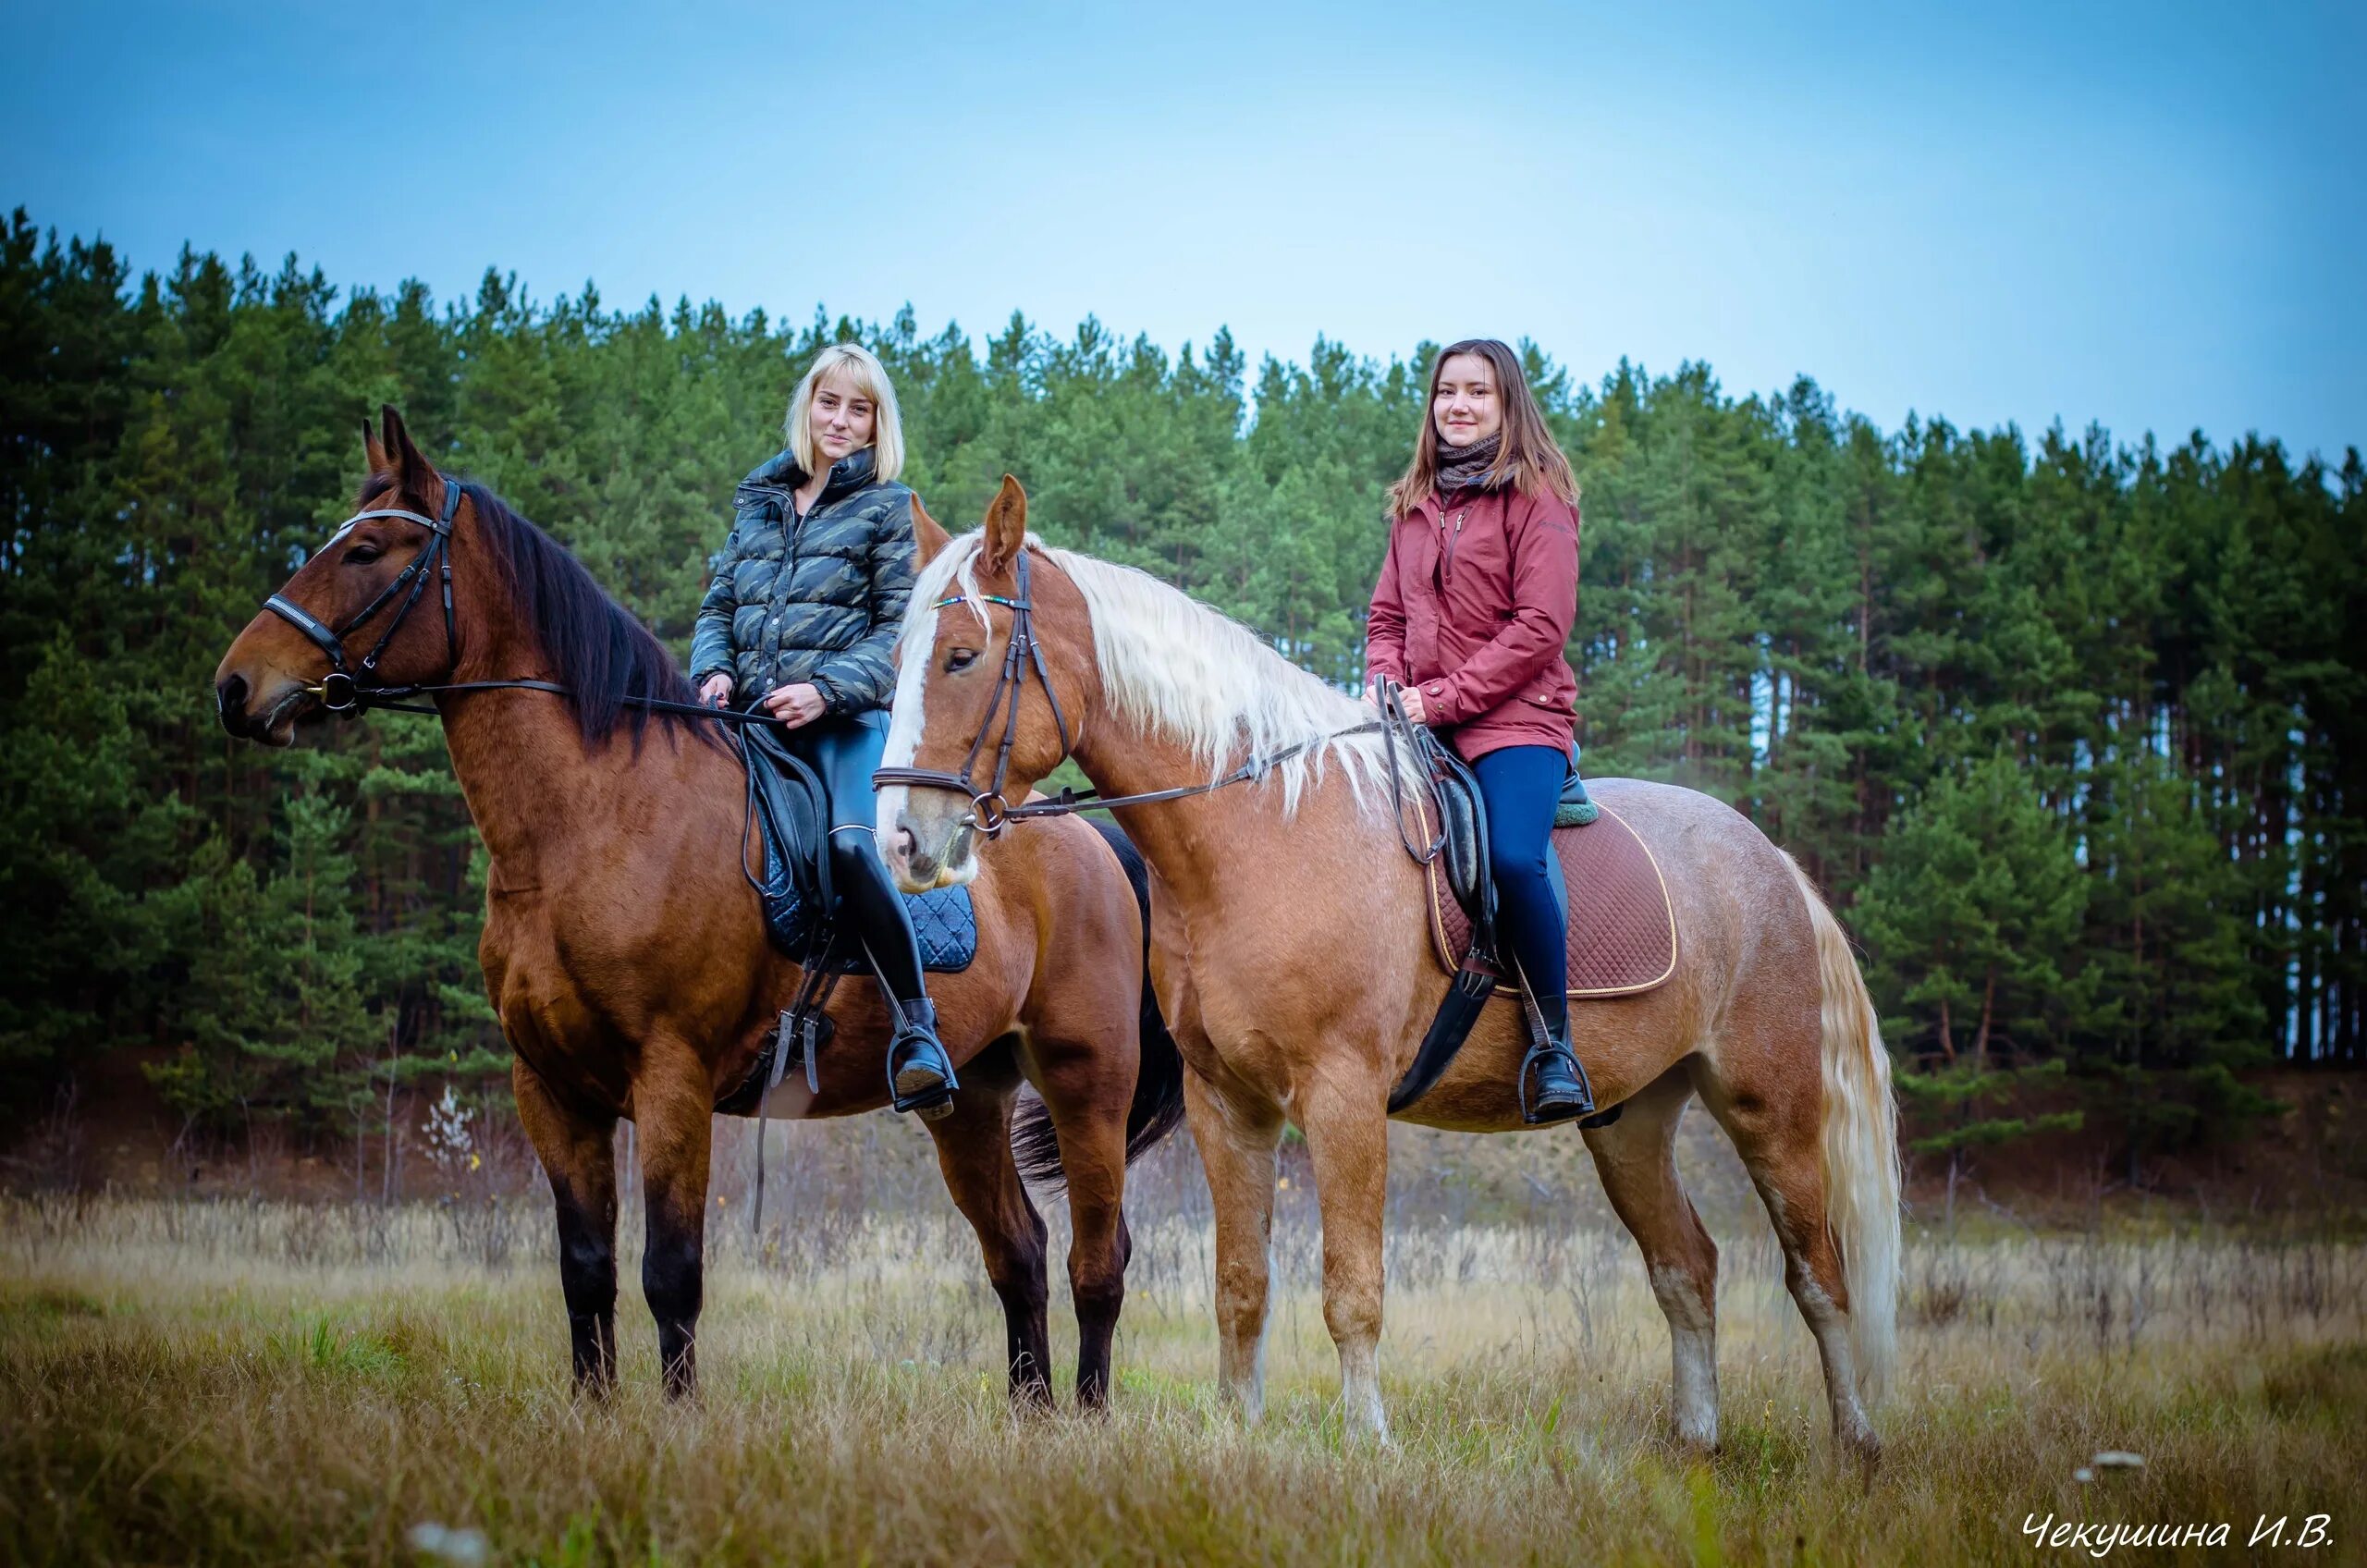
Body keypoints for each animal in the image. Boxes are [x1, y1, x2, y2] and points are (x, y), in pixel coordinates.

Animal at [213, 414, 1184, 1411]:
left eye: (366, 549)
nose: (237, 687)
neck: (592, 823)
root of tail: (1092, 839)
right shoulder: (551, 1088)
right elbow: (587, 1269)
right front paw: (594, 1413)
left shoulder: (671, 1076)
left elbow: (669, 1273)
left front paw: (675, 1424)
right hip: (969, 1101)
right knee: (1018, 1255)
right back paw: (1033, 1421)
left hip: (1085, 1082)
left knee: (1097, 1260)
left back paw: (1086, 1419)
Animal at [871, 478, 1903, 1459]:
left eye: (961, 656)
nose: (901, 841)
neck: (1264, 829)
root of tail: (1771, 861)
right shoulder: (1226, 1101)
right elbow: (1241, 1283)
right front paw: (1237, 1427)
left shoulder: (1343, 1096)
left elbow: (1351, 1288)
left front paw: (1367, 1437)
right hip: (1631, 1117)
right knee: (1686, 1266)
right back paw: (1696, 1439)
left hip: (1769, 1107)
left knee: (1818, 1272)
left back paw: (1855, 1441)